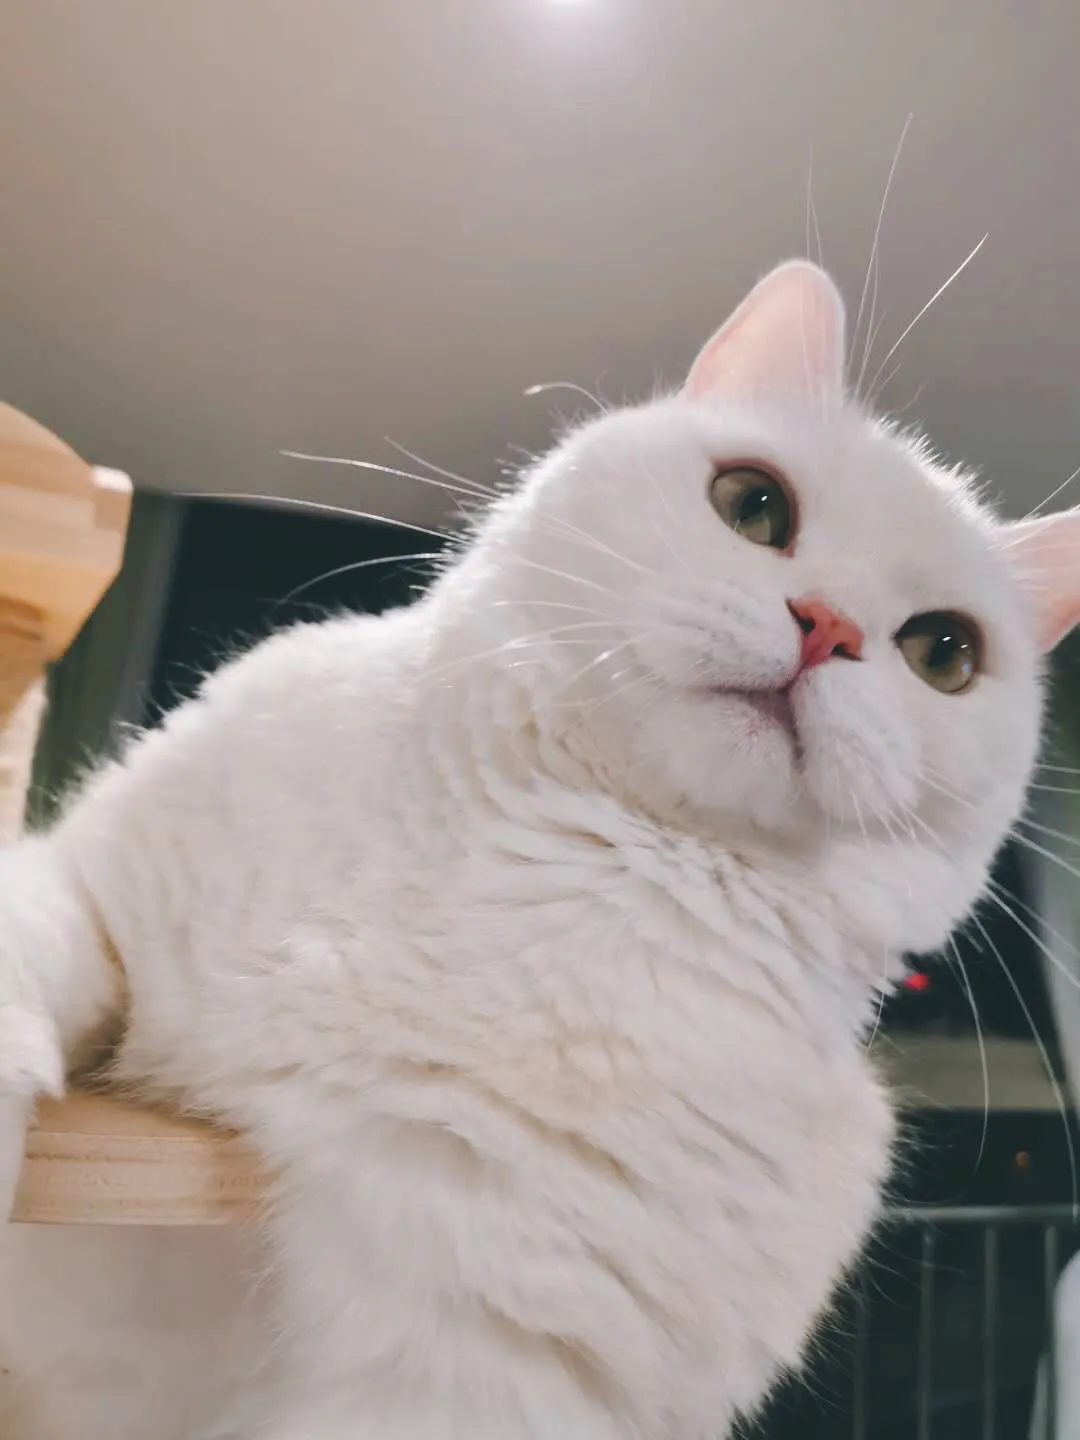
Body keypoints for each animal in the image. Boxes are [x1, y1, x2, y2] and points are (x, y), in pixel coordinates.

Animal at [1, 259, 1079, 1440]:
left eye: (945, 653)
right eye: (755, 503)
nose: (826, 625)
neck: (562, 859)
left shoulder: (466, 1377)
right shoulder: (99, 875)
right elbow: (33, 934)